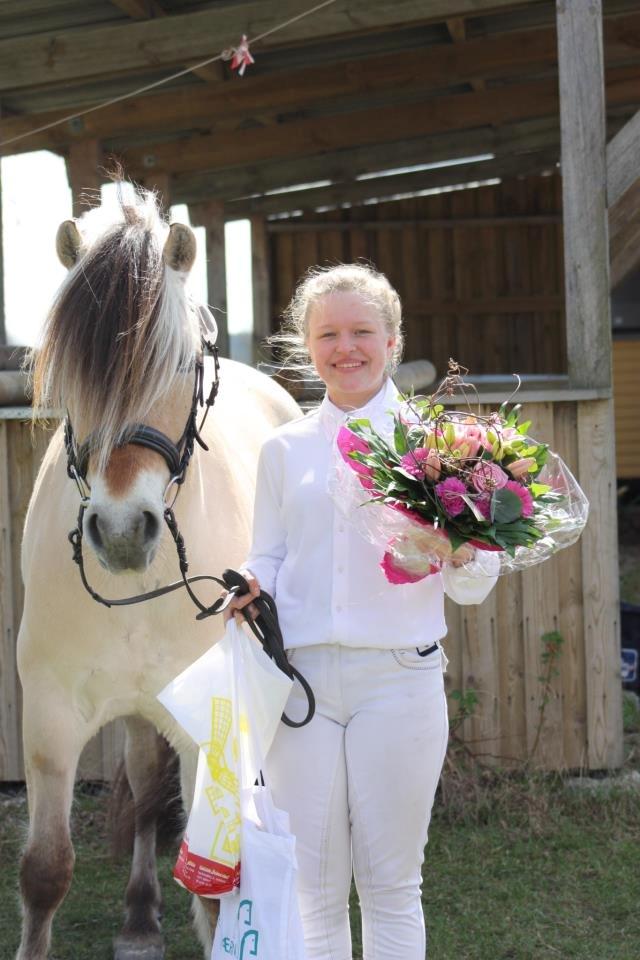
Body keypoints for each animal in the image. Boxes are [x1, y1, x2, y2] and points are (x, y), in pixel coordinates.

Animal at [15, 189, 300, 960]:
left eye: (180, 365)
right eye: (71, 375)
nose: (120, 531)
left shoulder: (205, 723)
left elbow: (214, 894)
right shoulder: (50, 715)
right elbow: (45, 870)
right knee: (144, 788)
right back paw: (140, 918)